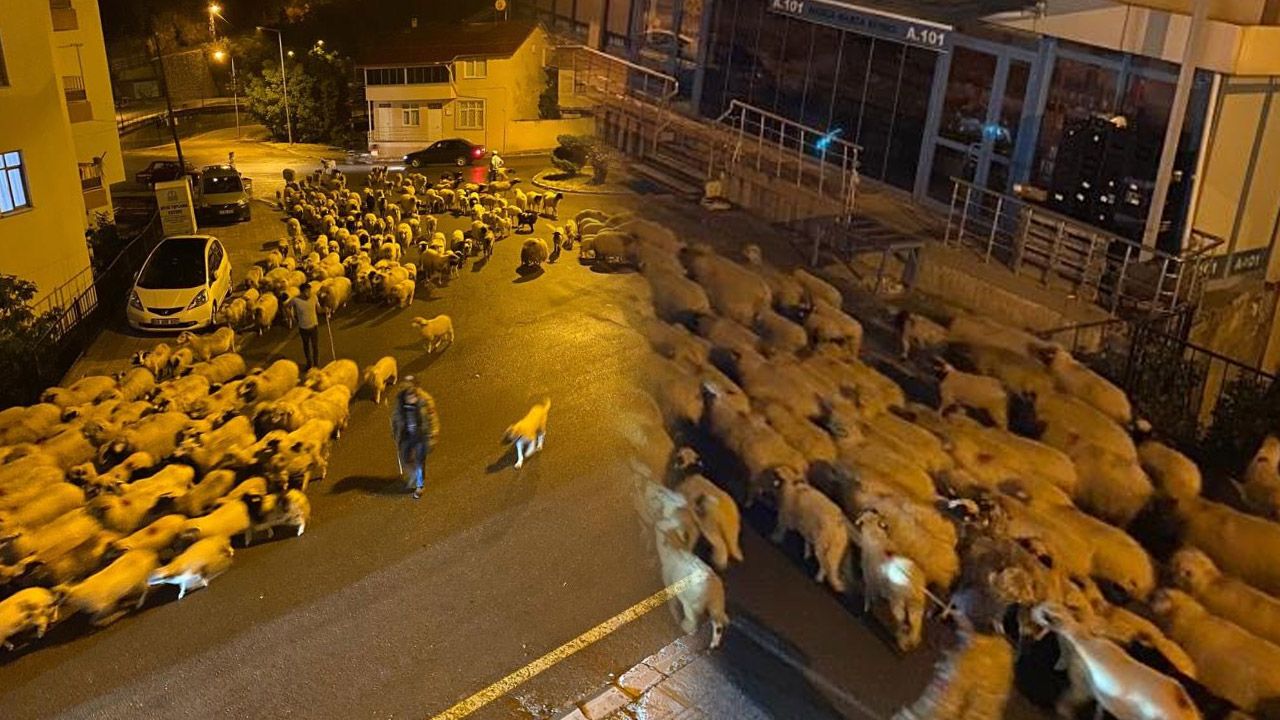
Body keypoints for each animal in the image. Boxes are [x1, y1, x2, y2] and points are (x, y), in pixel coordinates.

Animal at [855, 509, 926, 650]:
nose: (875, 509)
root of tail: (913, 580)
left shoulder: (870, 581)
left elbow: (868, 598)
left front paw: (865, 611)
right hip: (916, 605)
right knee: (915, 625)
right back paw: (912, 641)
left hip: (898, 601)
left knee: (902, 620)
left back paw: (901, 641)